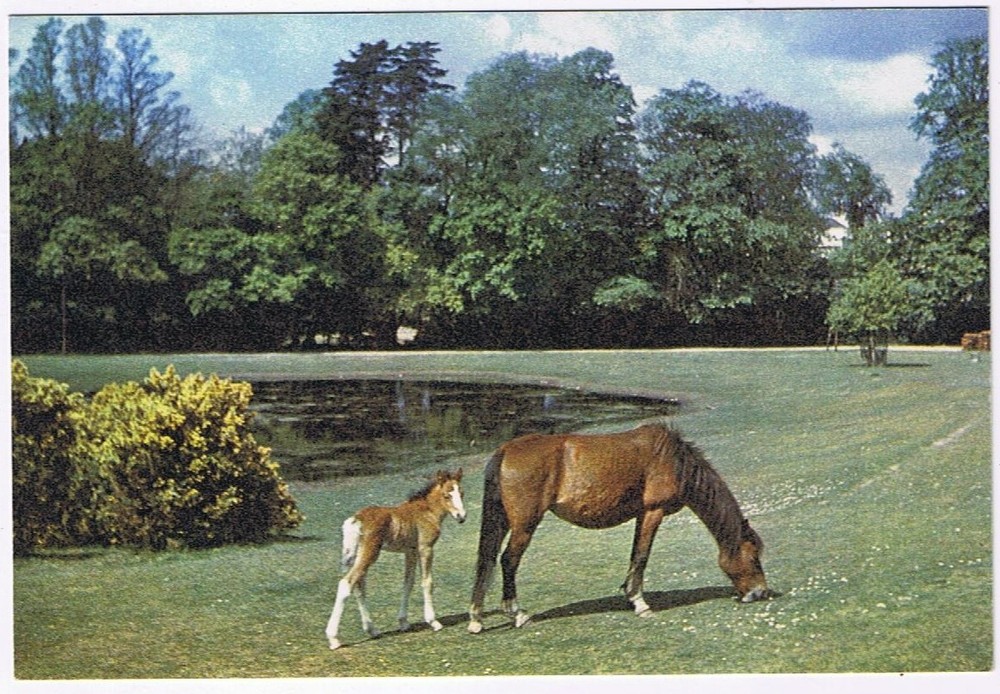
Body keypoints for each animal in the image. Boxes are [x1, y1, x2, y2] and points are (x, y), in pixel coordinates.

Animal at [326, 468, 466, 650]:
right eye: (446, 495)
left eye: (461, 493)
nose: (461, 516)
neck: (426, 511)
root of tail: (356, 519)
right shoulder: (425, 548)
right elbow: (427, 582)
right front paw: (433, 622)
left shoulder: (410, 552)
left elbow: (408, 583)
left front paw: (403, 622)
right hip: (370, 554)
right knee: (346, 583)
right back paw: (334, 638)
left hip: (357, 556)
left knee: (358, 587)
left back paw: (372, 630)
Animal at [468, 424, 769, 633]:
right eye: (753, 557)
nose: (760, 593)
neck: (672, 459)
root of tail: (506, 450)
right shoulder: (653, 512)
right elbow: (642, 556)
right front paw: (640, 604)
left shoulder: (641, 515)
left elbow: (635, 555)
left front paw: (630, 596)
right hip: (525, 524)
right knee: (508, 561)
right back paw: (517, 614)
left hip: (503, 521)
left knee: (487, 560)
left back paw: (476, 618)